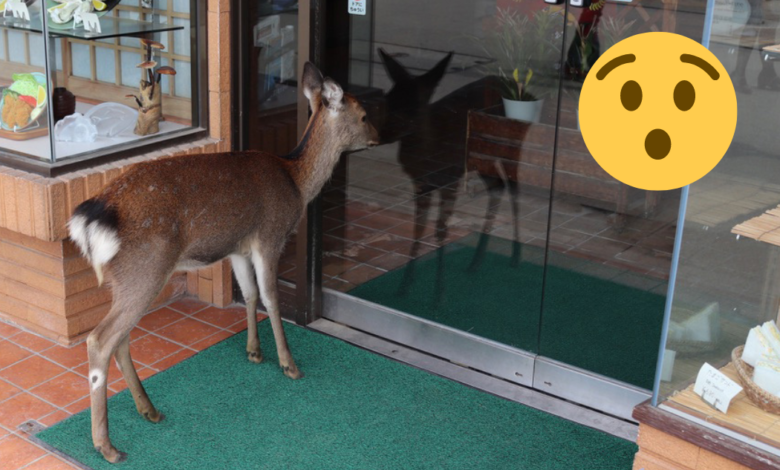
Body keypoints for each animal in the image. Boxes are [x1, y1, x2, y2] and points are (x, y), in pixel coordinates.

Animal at [67, 62, 378, 462]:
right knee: (100, 339)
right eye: (364, 115)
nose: (379, 136)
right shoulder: (269, 235)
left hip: (126, 278)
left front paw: (254, 352)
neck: (296, 180)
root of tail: (94, 216)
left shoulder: (238, 248)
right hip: (145, 268)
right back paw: (107, 446)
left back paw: (149, 409)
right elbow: (271, 298)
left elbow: (248, 293)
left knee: (120, 339)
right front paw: (289, 364)